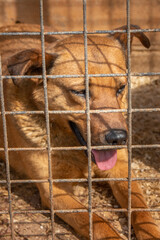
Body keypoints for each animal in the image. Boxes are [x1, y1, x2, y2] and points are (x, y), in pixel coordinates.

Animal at [0, 24, 159, 240]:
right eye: (80, 92)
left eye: (121, 88)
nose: (119, 138)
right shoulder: (53, 190)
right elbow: (95, 221)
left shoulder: (121, 169)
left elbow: (141, 209)